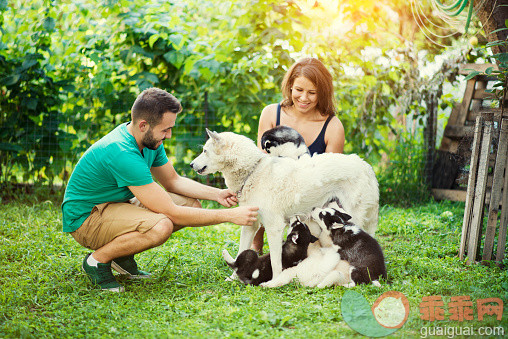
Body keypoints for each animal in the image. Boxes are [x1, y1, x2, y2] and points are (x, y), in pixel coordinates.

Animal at [190, 130, 378, 282]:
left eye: (204, 151)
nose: (191, 165)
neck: (252, 172)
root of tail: (366, 166)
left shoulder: (274, 228)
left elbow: (275, 261)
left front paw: (275, 280)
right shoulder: (250, 225)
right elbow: (240, 251)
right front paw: (232, 278)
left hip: (352, 220)